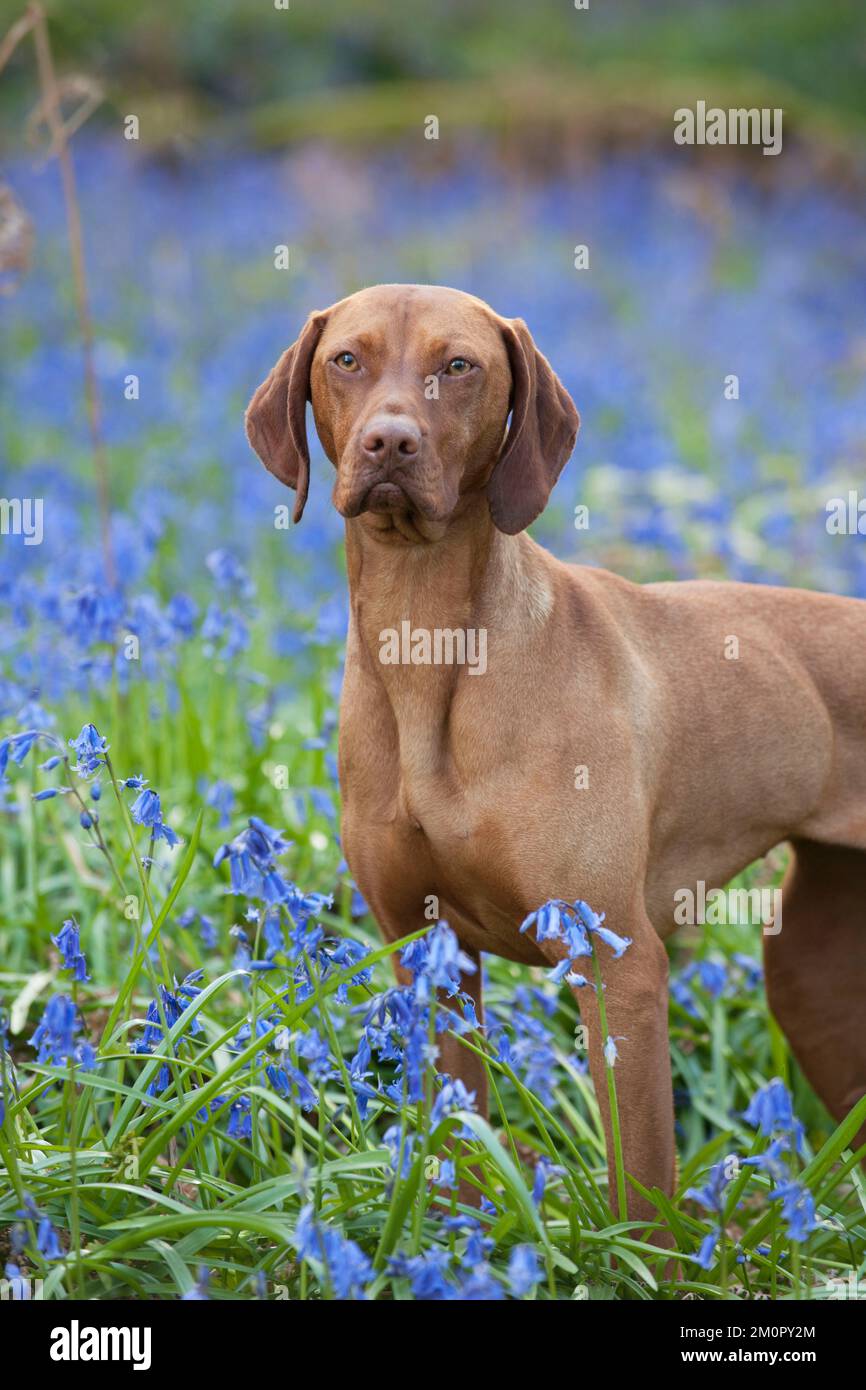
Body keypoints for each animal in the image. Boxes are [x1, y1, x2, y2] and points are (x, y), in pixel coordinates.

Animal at [247, 282, 866, 1228]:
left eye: (459, 365)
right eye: (346, 359)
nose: (390, 441)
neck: (429, 650)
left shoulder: (619, 965)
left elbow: (640, 1186)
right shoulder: (428, 957)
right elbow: (458, 1140)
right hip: (813, 975)